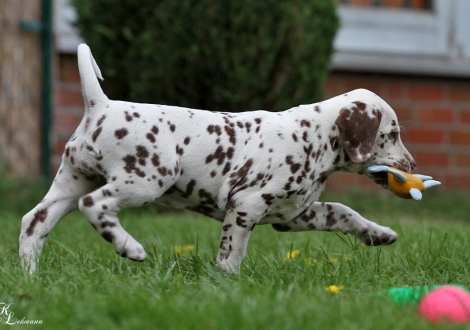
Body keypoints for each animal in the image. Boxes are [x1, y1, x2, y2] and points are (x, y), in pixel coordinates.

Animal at [19, 44, 414, 276]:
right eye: (392, 133)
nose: (411, 166)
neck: (310, 137)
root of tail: (100, 105)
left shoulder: (293, 215)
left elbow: (344, 213)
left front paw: (378, 234)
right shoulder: (246, 205)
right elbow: (232, 253)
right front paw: (228, 284)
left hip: (70, 183)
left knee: (33, 222)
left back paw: (29, 277)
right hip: (145, 181)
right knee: (94, 205)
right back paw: (129, 248)